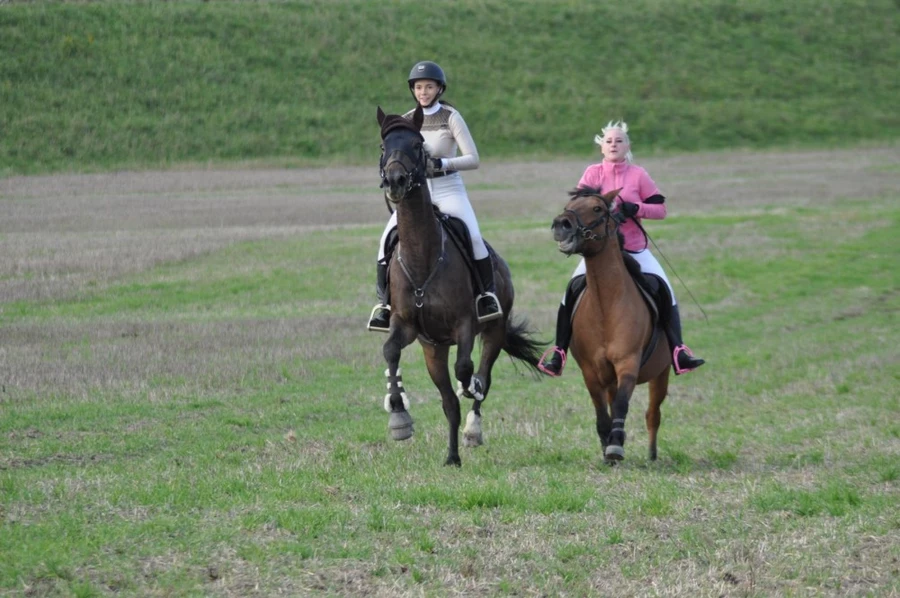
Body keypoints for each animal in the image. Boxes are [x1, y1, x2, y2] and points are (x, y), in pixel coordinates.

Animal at [376, 104, 545, 466]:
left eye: (417, 145)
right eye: (384, 146)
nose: (395, 181)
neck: (423, 257)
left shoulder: (465, 324)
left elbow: (467, 369)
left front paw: (470, 389)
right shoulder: (407, 325)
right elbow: (390, 350)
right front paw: (398, 416)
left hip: (494, 330)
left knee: (483, 376)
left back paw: (472, 429)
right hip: (433, 349)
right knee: (449, 402)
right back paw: (452, 456)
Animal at [550, 187, 672, 463]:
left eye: (597, 208)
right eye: (568, 205)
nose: (561, 224)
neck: (606, 306)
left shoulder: (628, 362)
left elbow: (621, 405)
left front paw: (615, 446)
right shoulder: (590, 371)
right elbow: (601, 410)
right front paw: (607, 445)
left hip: (662, 373)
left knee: (653, 414)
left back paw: (651, 455)